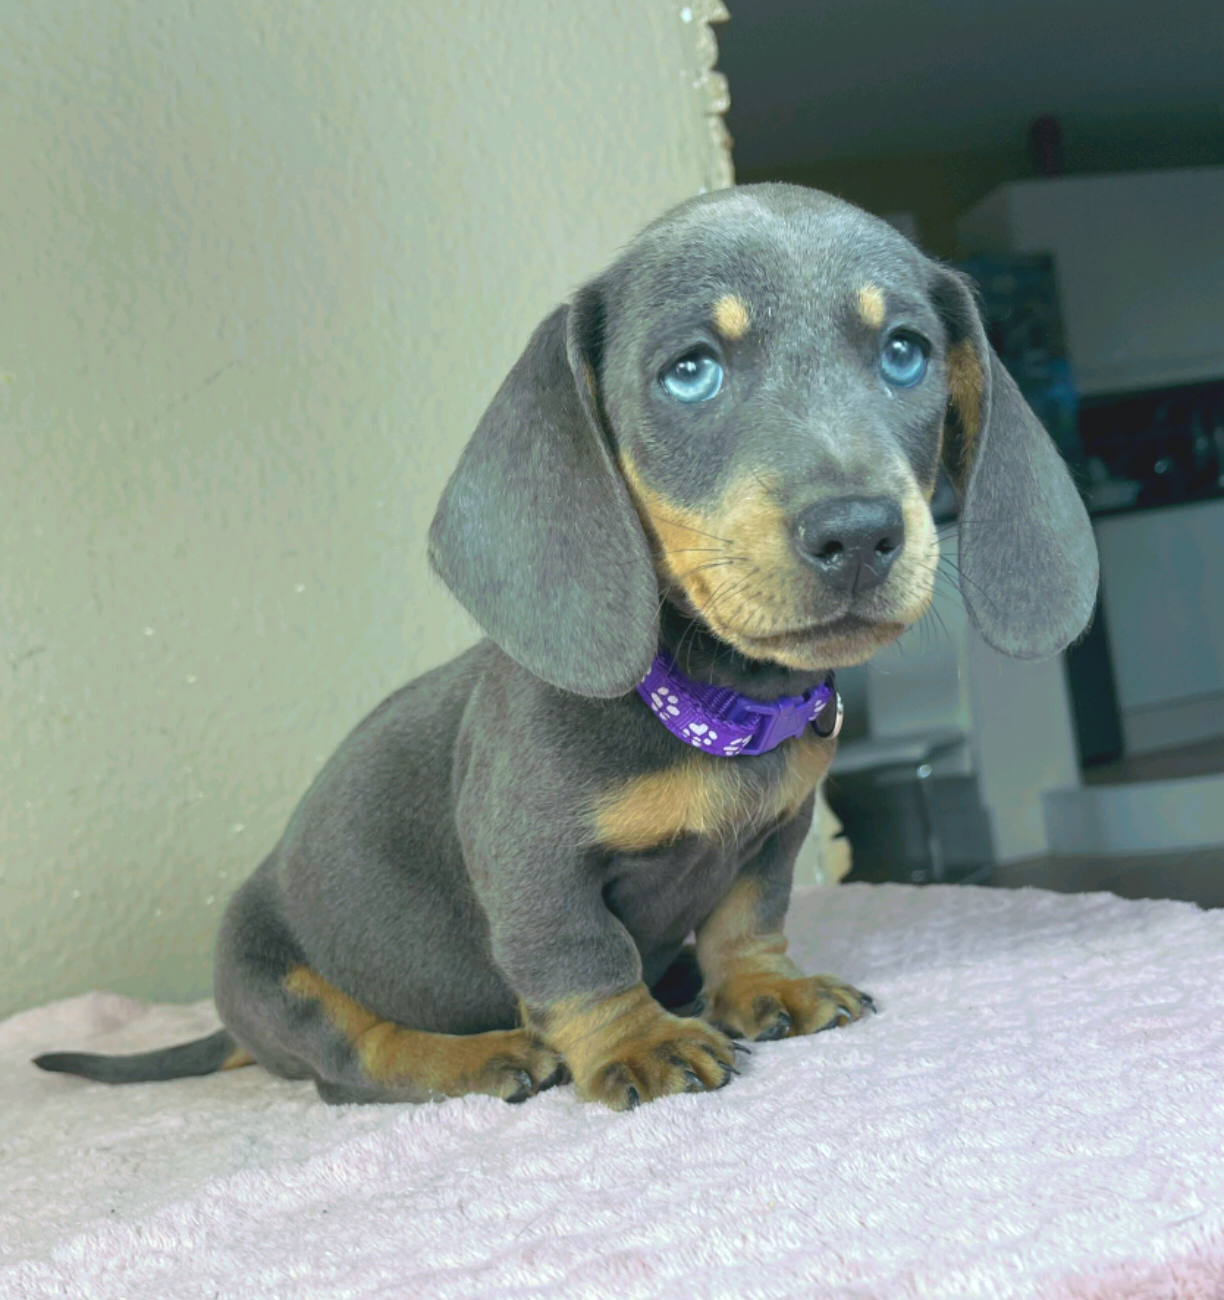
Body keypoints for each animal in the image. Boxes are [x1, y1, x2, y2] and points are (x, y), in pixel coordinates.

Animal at [35, 184, 1098, 1110]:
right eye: (691, 371)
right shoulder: (534, 865)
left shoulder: (774, 837)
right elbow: (584, 960)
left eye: (906, 353)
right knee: (352, 1061)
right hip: (272, 973)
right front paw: (640, 1042)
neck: (713, 700)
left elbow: (749, 919)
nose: (860, 534)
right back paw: (484, 1056)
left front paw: (765, 989)